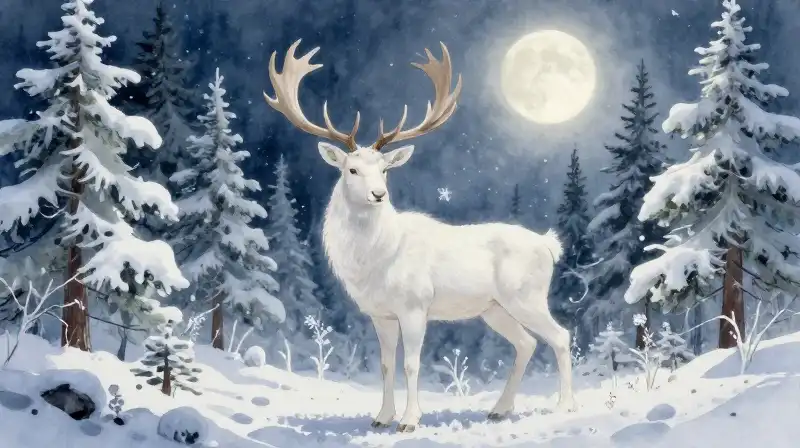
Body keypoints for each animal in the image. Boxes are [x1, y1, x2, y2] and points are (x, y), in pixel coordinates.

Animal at [263, 39, 575, 432]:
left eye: (385, 170)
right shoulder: (380, 314)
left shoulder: (415, 306)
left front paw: (409, 421)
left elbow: (412, 363)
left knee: (560, 336)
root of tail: (549, 245)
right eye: (352, 169)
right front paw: (381, 417)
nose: (378, 194)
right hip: (494, 309)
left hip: (527, 297)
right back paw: (500, 409)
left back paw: (563, 406)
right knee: (526, 344)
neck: (375, 261)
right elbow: (385, 365)